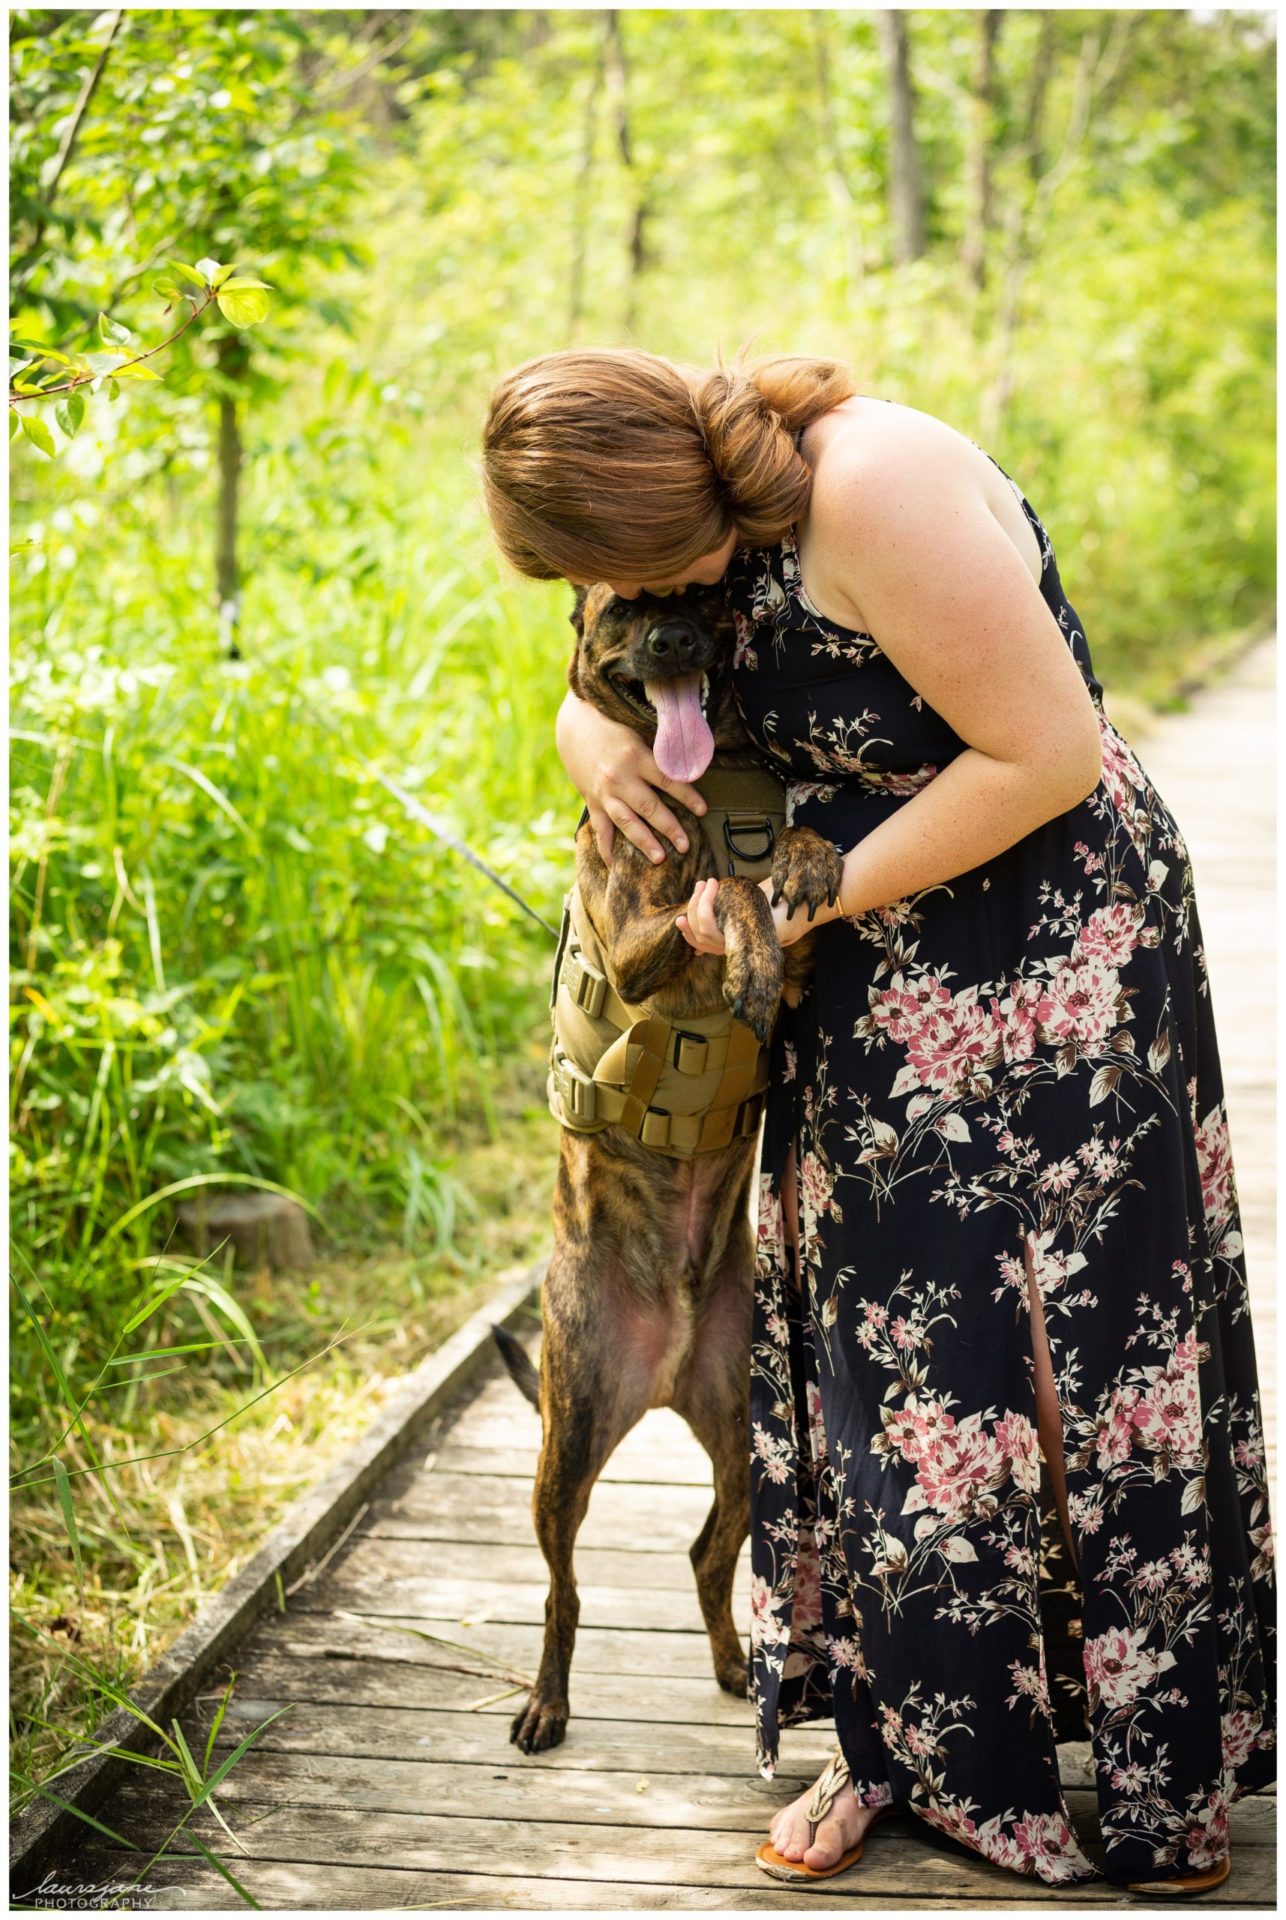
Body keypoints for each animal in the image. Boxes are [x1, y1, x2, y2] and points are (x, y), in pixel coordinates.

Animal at [495, 576, 844, 1751]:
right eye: (621, 607)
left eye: (708, 592)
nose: (675, 636)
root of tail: (661, 1366)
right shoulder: (641, 940)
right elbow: (721, 902)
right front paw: (741, 926)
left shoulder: (812, 957)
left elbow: (781, 878)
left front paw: (803, 856)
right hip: (567, 1443)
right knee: (561, 1589)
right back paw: (546, 1702)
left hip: (749, 1434)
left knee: (704, 1552)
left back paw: (741, 1668)